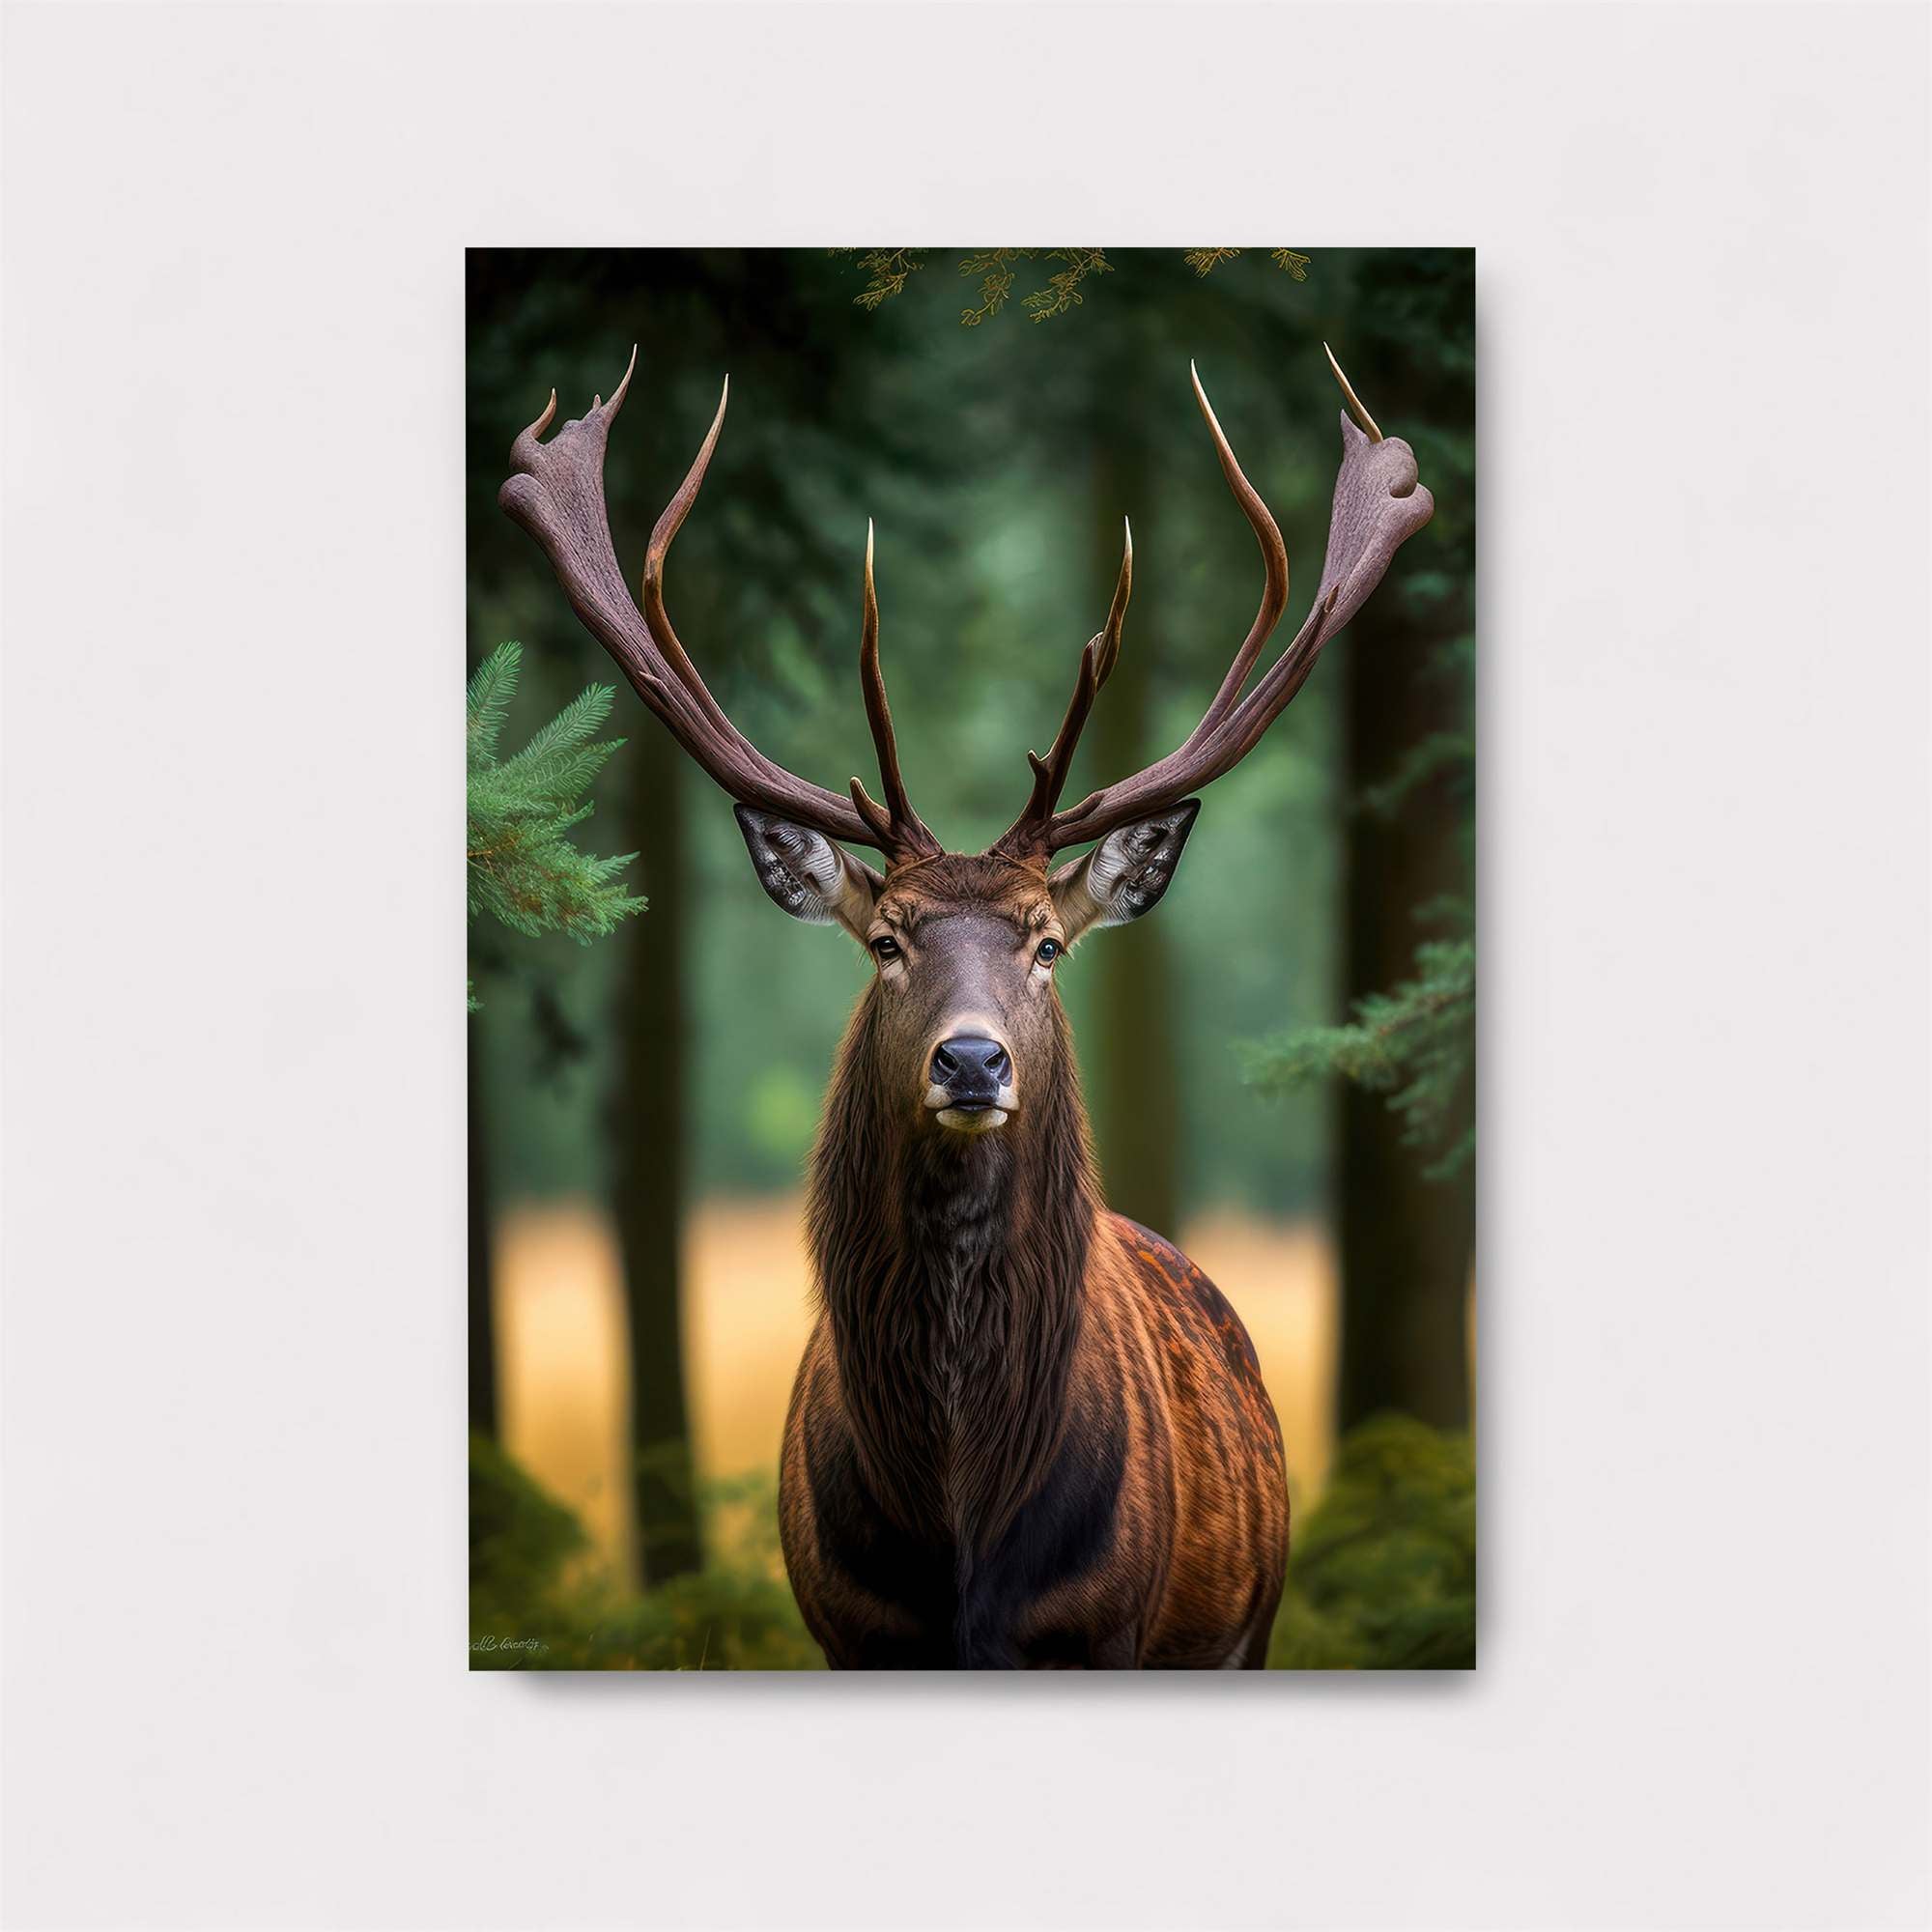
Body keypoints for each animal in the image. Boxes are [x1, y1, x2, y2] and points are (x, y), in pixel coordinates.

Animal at [499, 342, 1433, 1668]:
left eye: (1046, 944)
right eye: (886, 941)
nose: (974, 1061)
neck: (957, 1527)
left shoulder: (1103, 1626)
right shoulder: (846, 1623)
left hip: (1248, 1619)